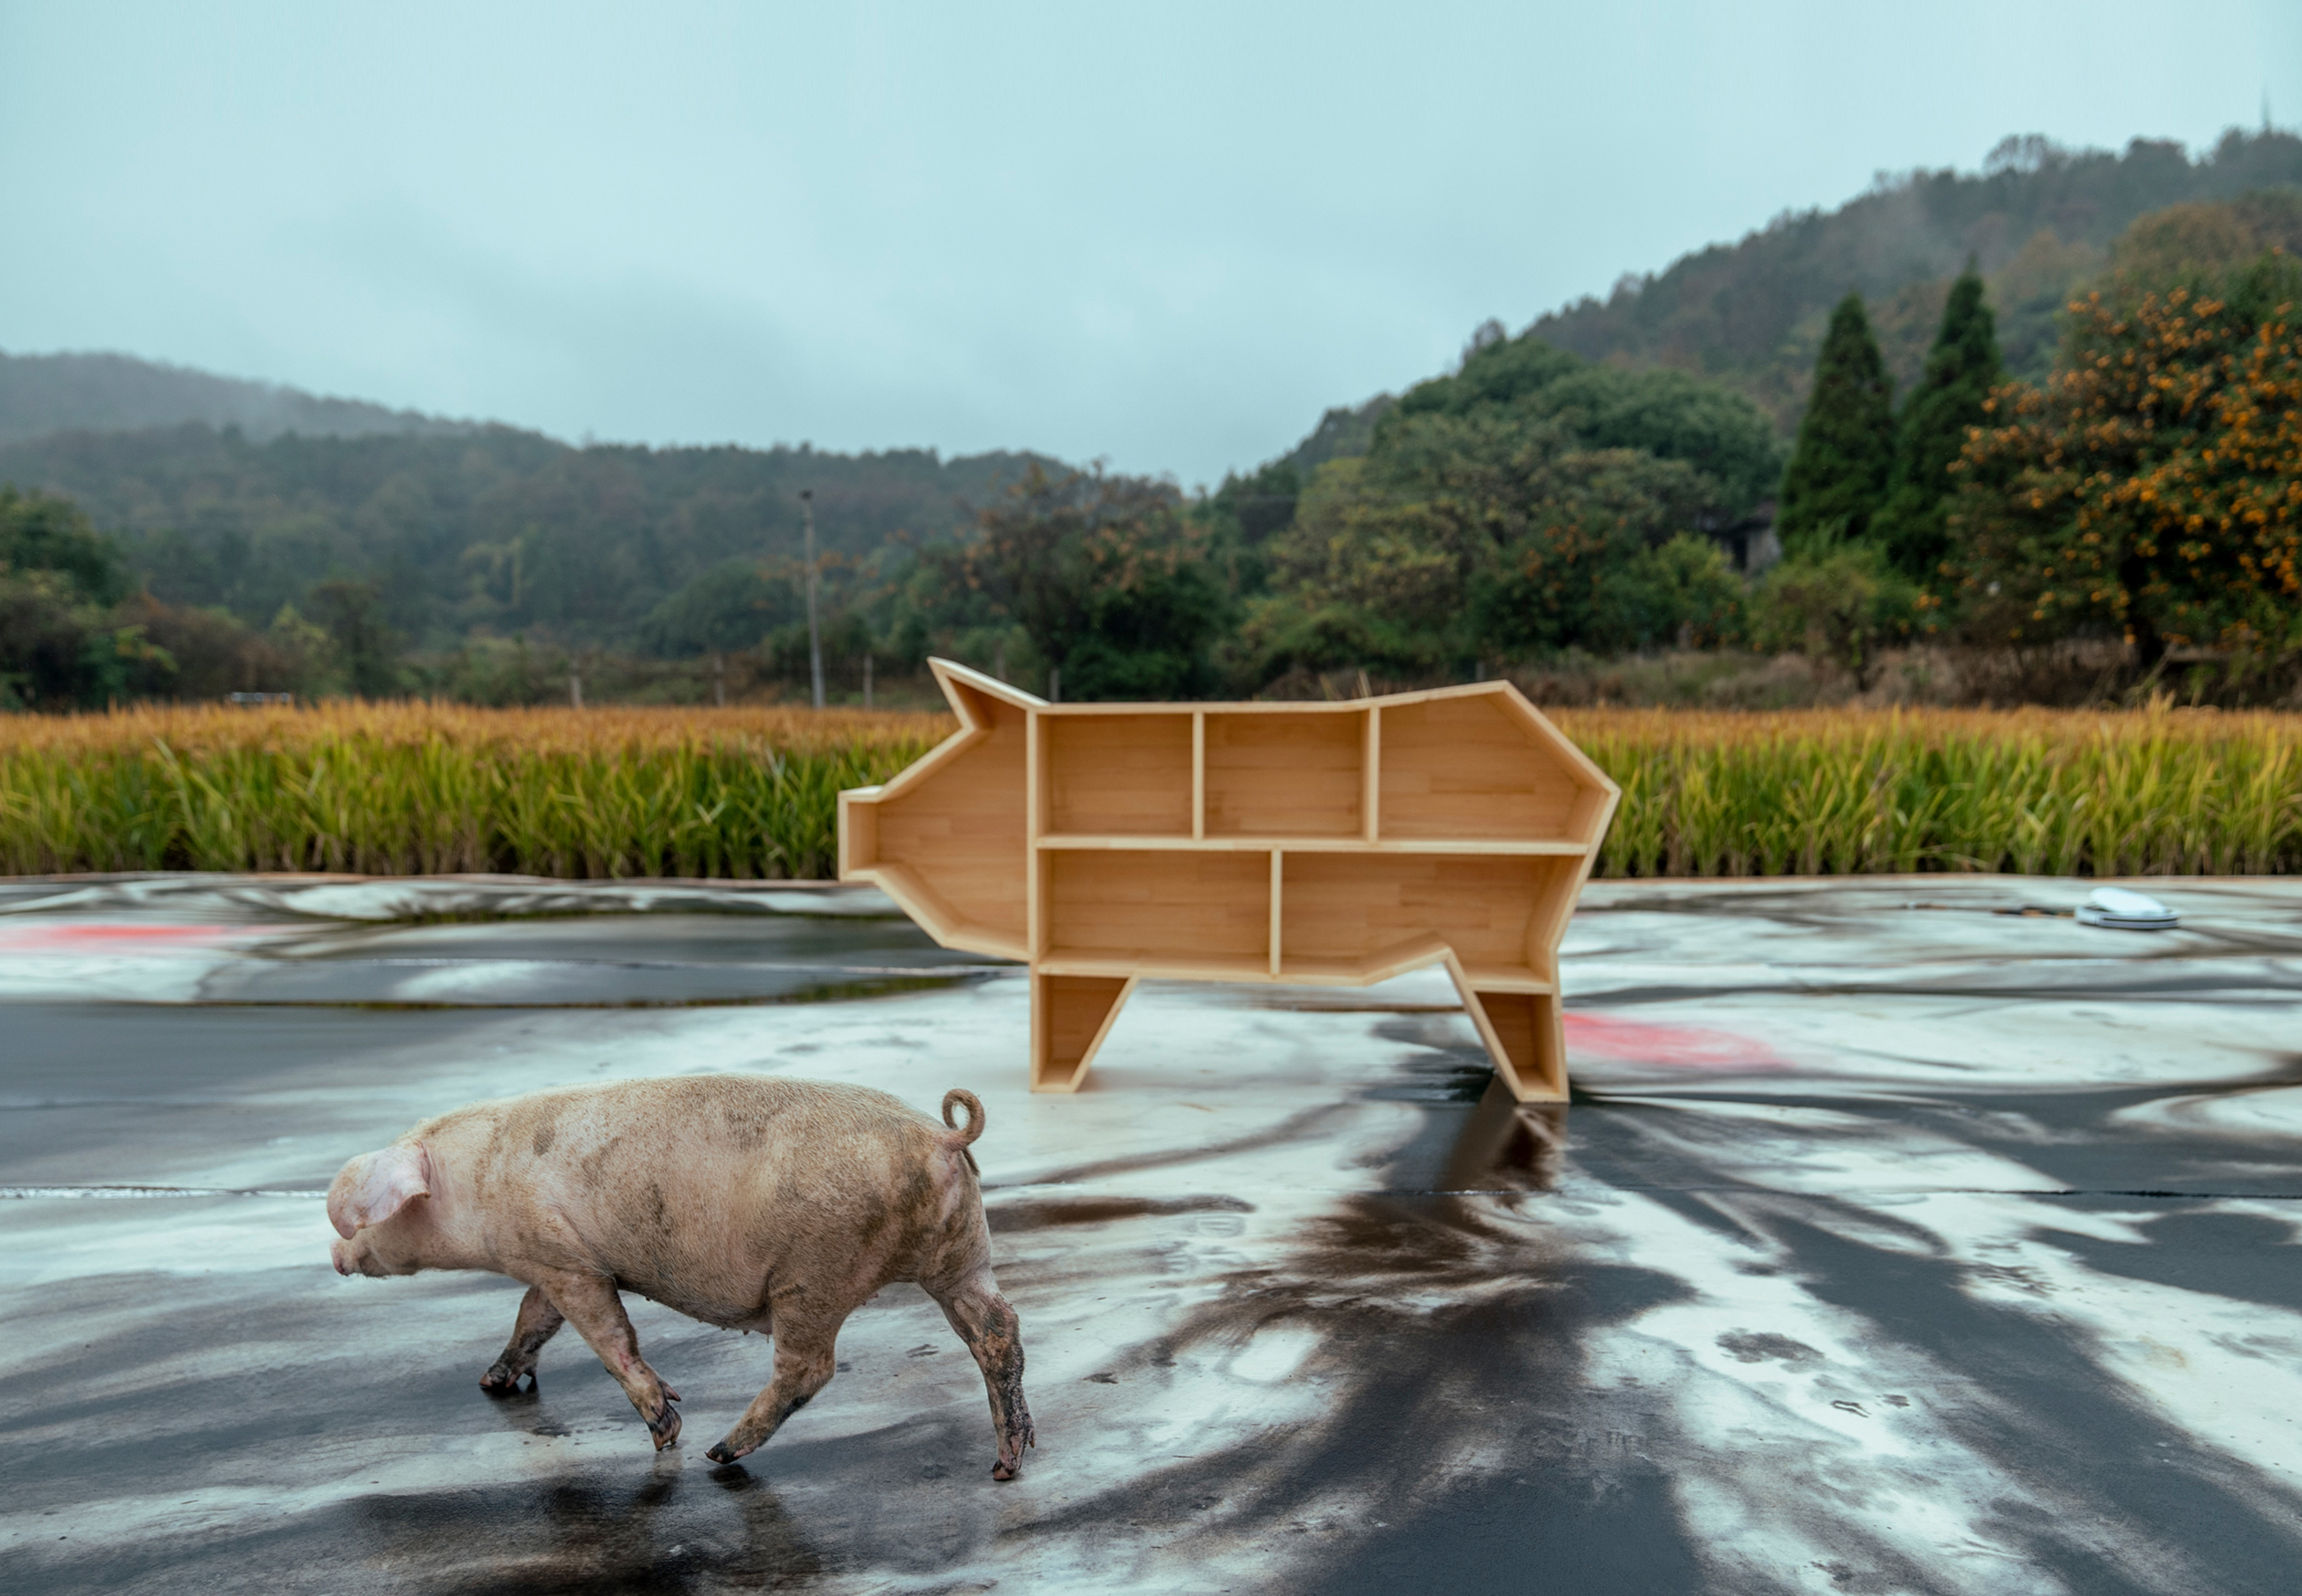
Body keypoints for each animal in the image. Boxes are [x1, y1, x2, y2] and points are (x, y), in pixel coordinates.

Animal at [325, 1077, 1036, 1473]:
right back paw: (1008, 1461)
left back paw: (717, 1454)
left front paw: (666, 1428)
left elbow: (608, 1334)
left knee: (810, 1368)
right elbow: (532, 1318)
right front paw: (492, 1382)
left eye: (359, 1219)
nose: (333, 1257)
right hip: (963, 1253)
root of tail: (939, 1138)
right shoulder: (551, 1263)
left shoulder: (564, 1259)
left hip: (815, 1271)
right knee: (998, 1332)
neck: (471, 1184)